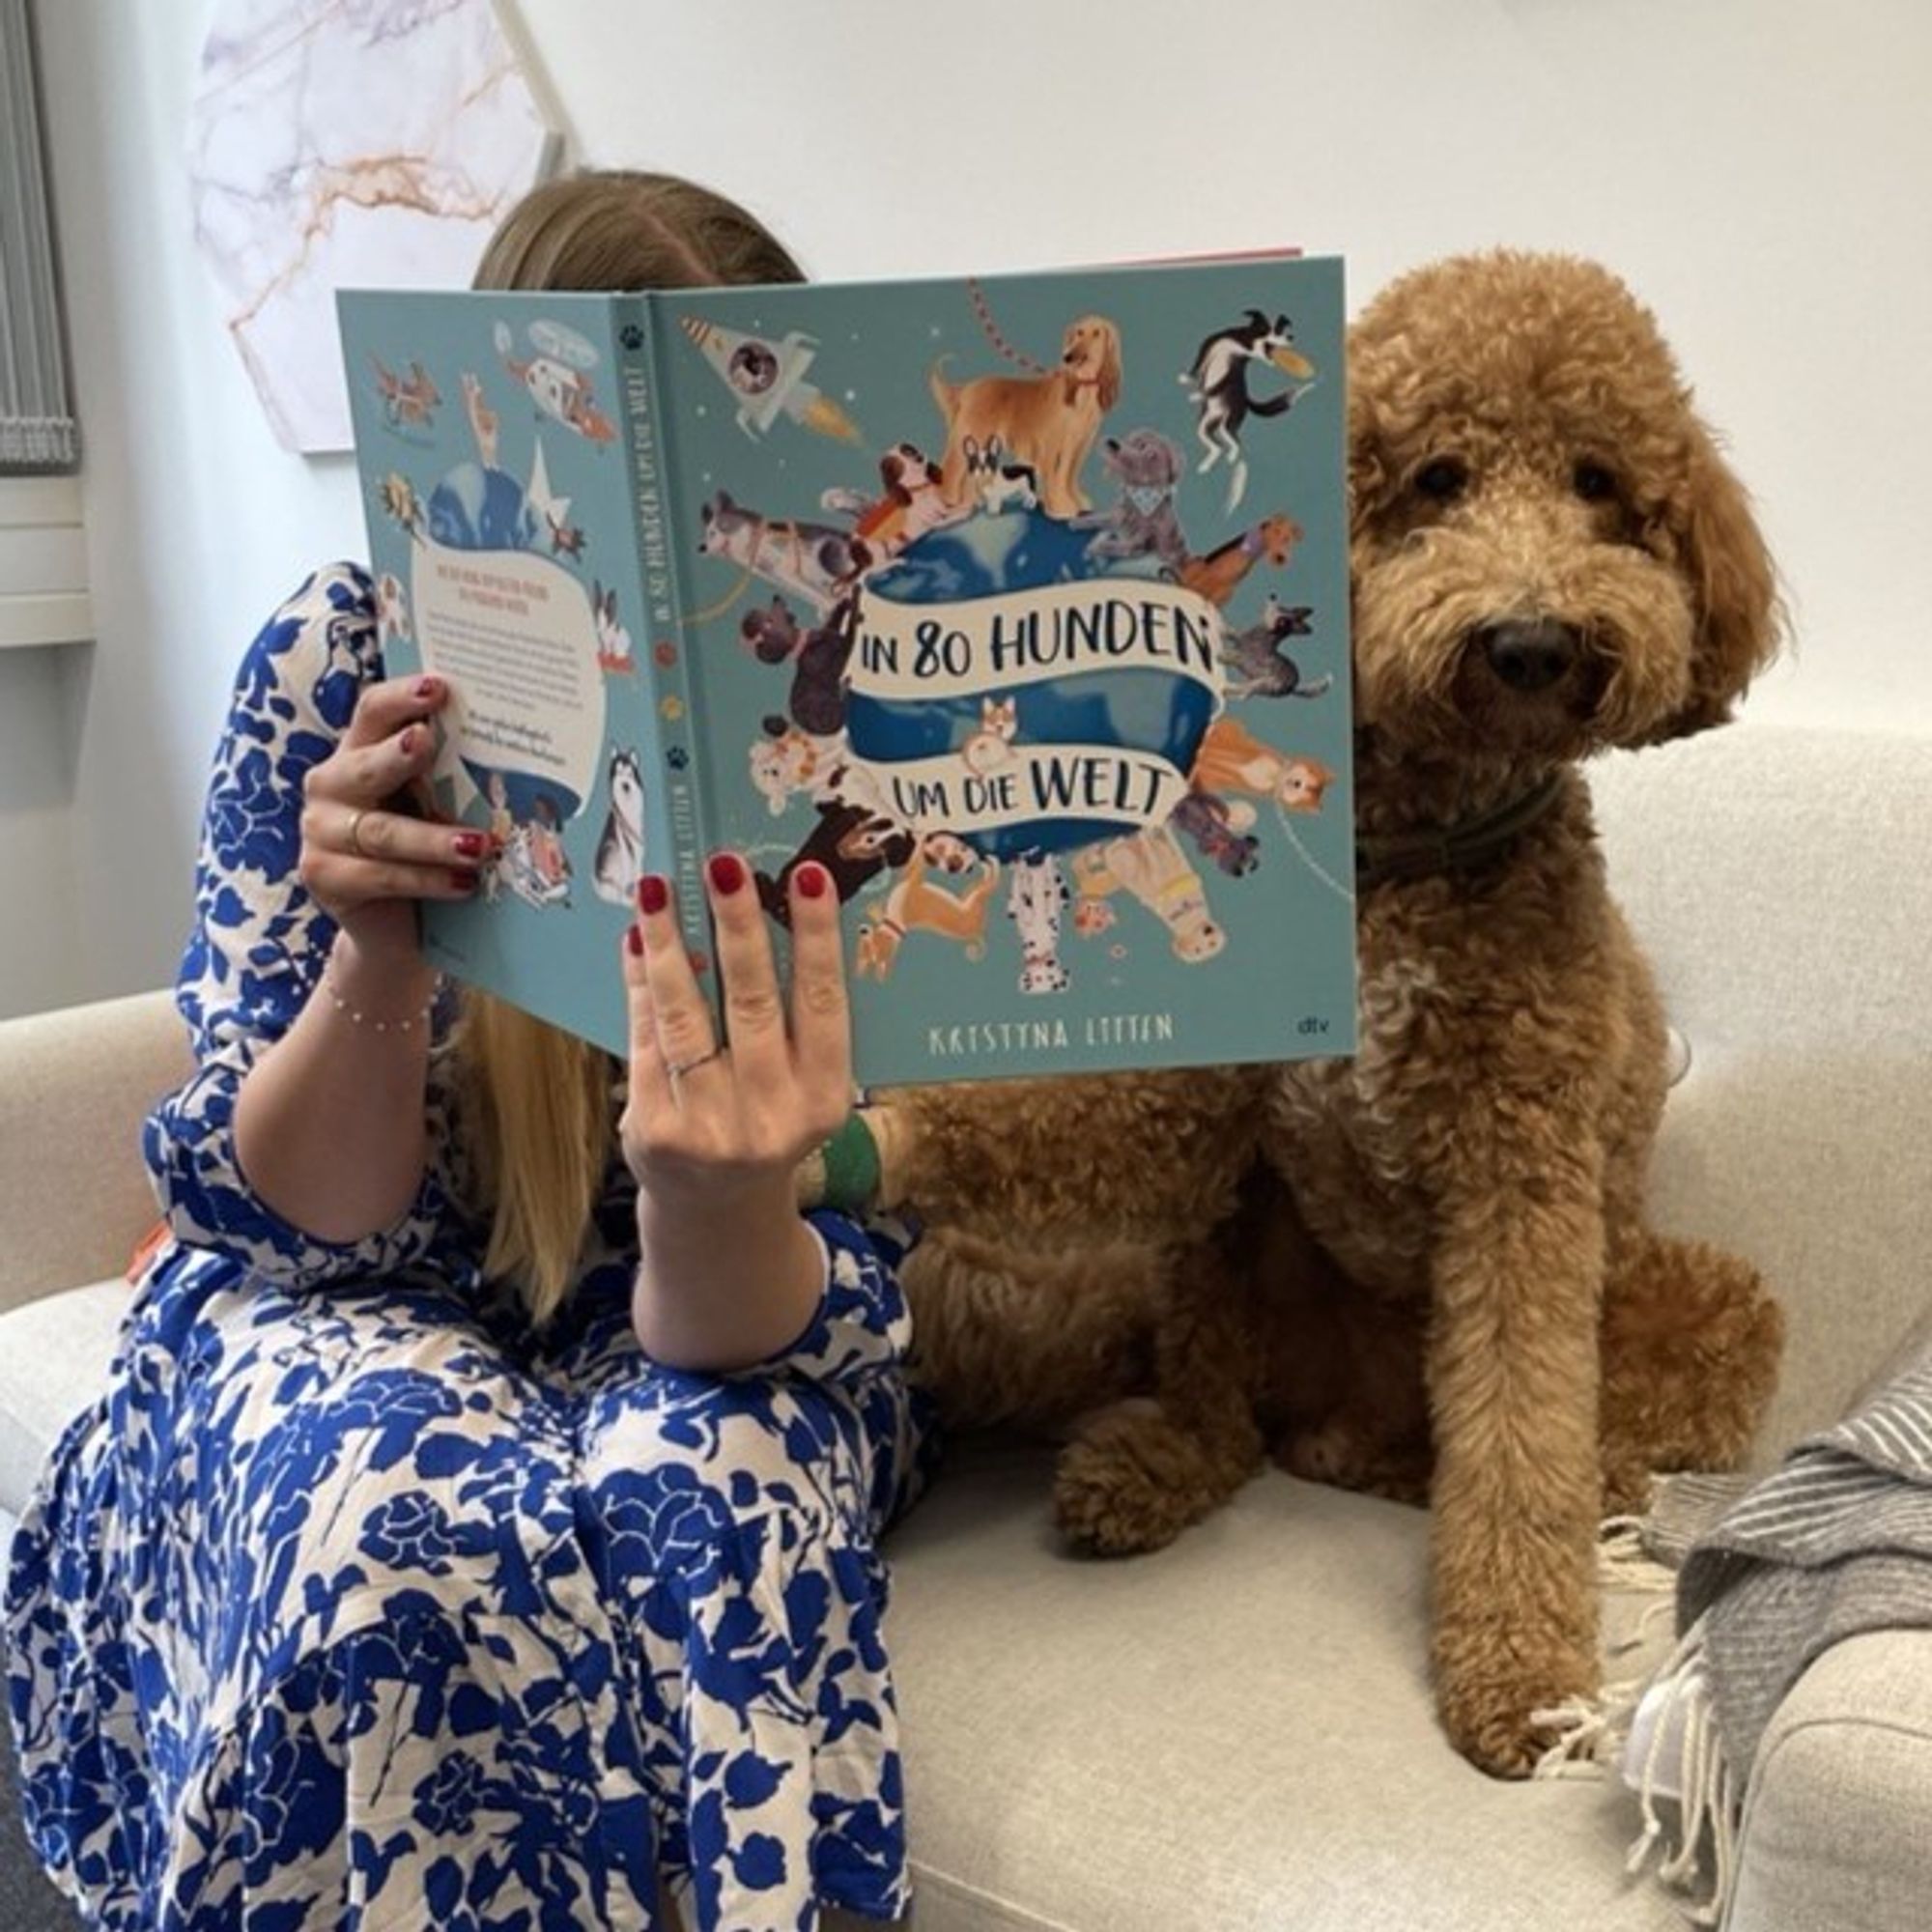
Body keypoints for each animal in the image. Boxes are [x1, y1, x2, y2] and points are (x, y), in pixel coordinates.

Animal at [927, 321, 1128, 526]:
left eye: (1097, 333)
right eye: (1079, 332)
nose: (1068, 356)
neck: (1081, 386)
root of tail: (966, 389)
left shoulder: (1080, 443)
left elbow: (1069, 474)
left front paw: (1077, 501)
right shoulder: (1053, 442)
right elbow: (1056, 476)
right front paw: (1059, 506)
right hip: (972, 433)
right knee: (952, 470)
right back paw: (950, 503)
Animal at [1175, 307, 1314, 510]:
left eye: (1282, 329)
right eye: (1272, 330)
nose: (1291, 337)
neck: (1240, 346)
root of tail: (1246, 401)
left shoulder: (1231, 372)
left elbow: (1215, 385)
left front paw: (1199, 395)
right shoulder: (1209, 347)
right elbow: (1197, 369)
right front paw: (1188, 380)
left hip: (1229, 423)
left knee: (1234, 443)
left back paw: (1231, 456)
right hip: (1204, 425)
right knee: (1216, 446)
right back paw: (1207, 465)